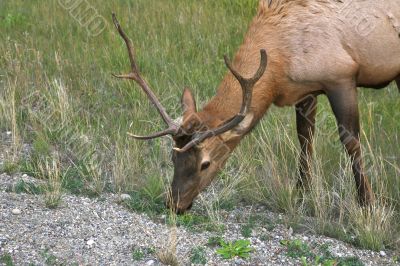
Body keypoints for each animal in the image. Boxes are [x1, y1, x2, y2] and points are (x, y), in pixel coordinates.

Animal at [111, 0, 400, 213]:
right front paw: (301, 192)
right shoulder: (306, 89)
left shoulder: (341, 76)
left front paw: (367, 203)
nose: (174, 204)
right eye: (173, 157)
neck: (281, 64)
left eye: (205, 163)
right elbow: (305, 138)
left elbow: (350, 141)